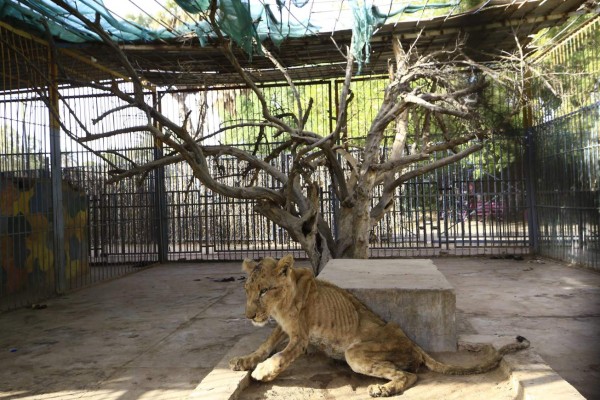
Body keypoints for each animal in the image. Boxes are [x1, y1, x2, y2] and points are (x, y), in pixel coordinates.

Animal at [230, 256, 528, 396]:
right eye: (246, 290)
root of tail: (413, 343)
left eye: (264, 290)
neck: (280, 305)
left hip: (356, 353)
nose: (249, 315)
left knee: (409, 375)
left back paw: (382, 389)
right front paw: (244, 361)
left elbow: (281, 356)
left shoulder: (301, 337)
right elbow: (265, 344)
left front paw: (263, 371)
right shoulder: (283, 328)